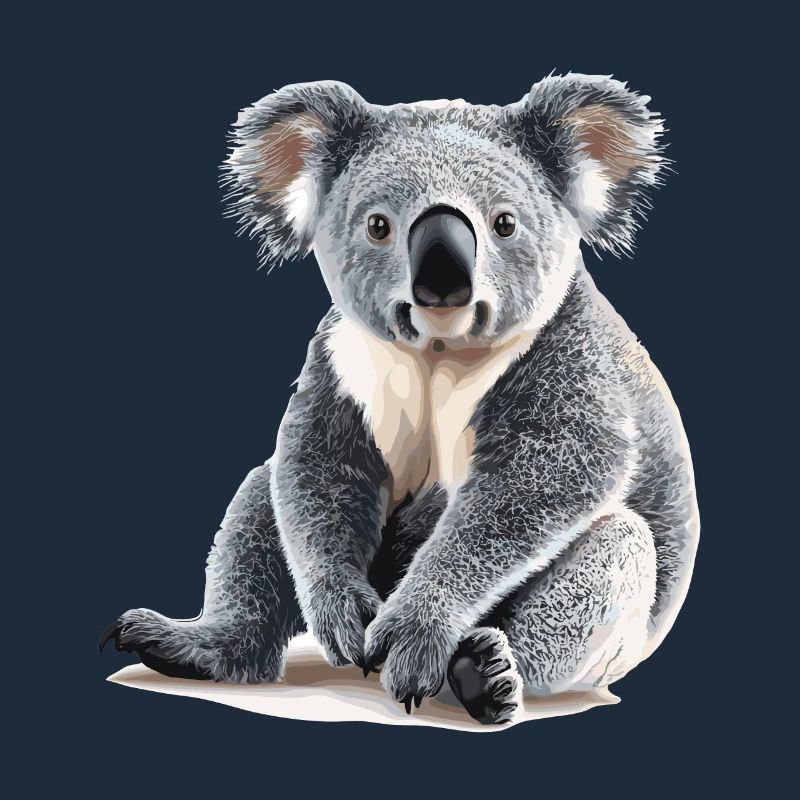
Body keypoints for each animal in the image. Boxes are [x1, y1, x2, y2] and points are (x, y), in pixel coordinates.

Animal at [100, 74, 699, 725]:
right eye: (378, 225)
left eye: (505, 223)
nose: (443, 277)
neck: (438, 352)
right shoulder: (342, 357)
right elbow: (317, 469)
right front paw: (343, 614)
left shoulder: (568, 352)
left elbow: (551, 474)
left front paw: (415, 632)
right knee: (261, 497)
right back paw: (189, 645)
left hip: (609, 627)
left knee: (613, 553)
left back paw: (483, 674)